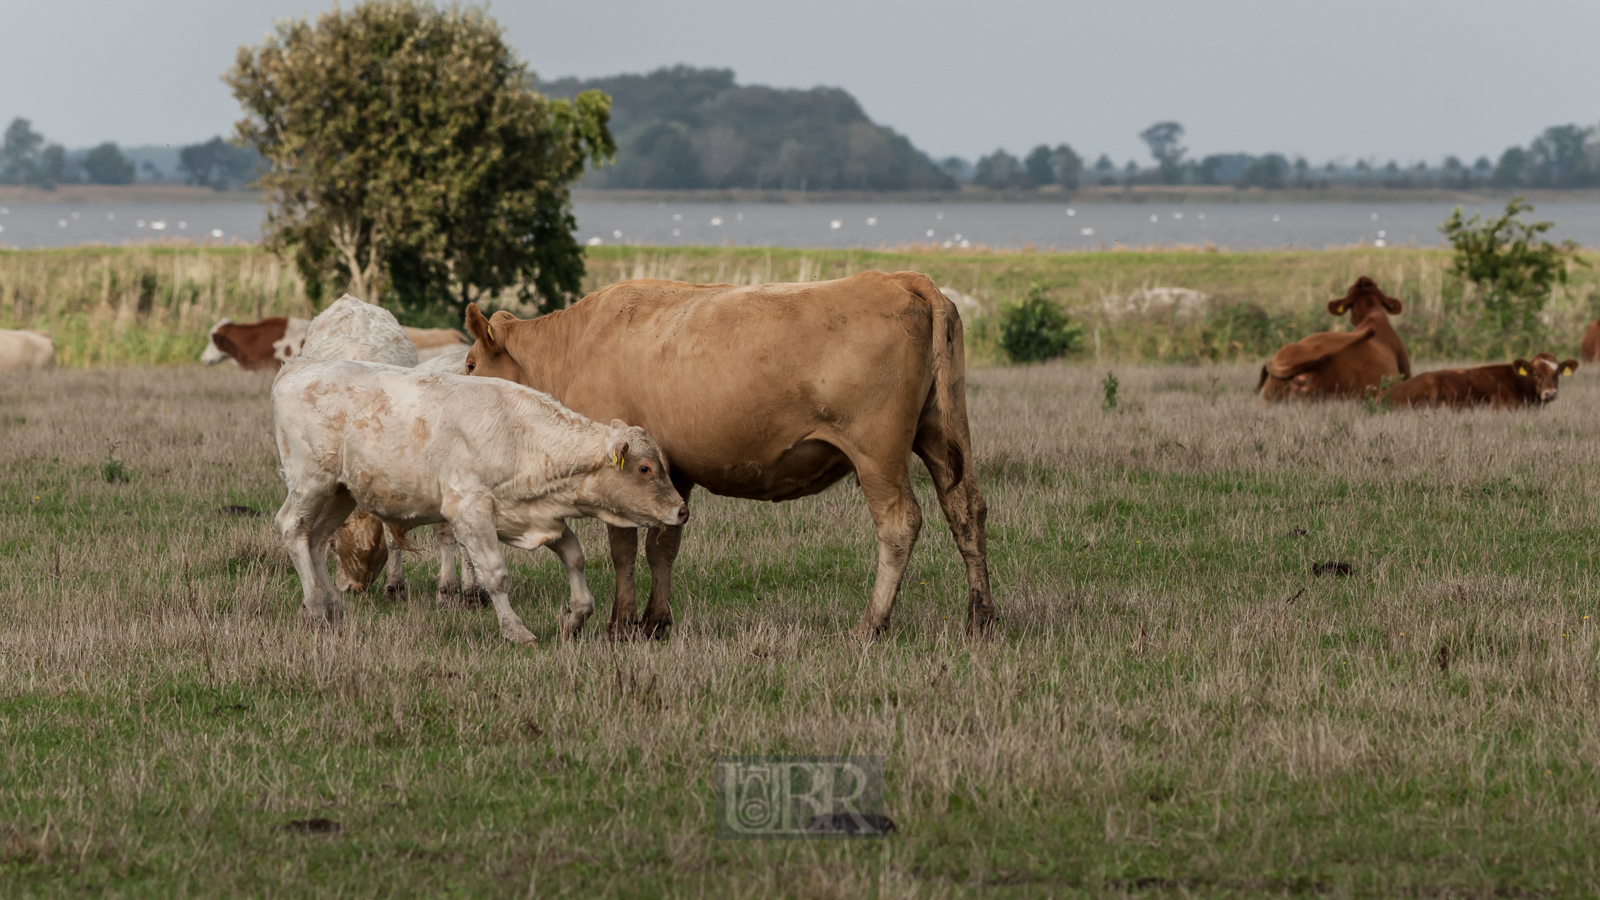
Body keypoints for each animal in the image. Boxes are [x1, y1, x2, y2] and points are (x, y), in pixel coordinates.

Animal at [272, 353, 684, 640]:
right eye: (645, 469)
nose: (682, 511)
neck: (520, 435)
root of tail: (297, 367)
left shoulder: (536, 516)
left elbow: (575, 557)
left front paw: (575, 618)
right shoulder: (470, 513)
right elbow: (496, 576)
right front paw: (516, 629)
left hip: (340, 493)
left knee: (316, 539)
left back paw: (332, 609)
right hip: (311, 482)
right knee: (292, 529)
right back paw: (315, 607)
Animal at [457, 267, 992, 637]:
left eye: (470, 362)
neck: (573, 348)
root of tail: (902, 279)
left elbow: (624, 548)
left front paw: (621, 624)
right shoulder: (671, 470)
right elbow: (662, 545)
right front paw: (654, 621)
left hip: (876, 452)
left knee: (900, 523)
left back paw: (871, 623)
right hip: (943, 433)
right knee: (965, 510)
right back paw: (980, 617)